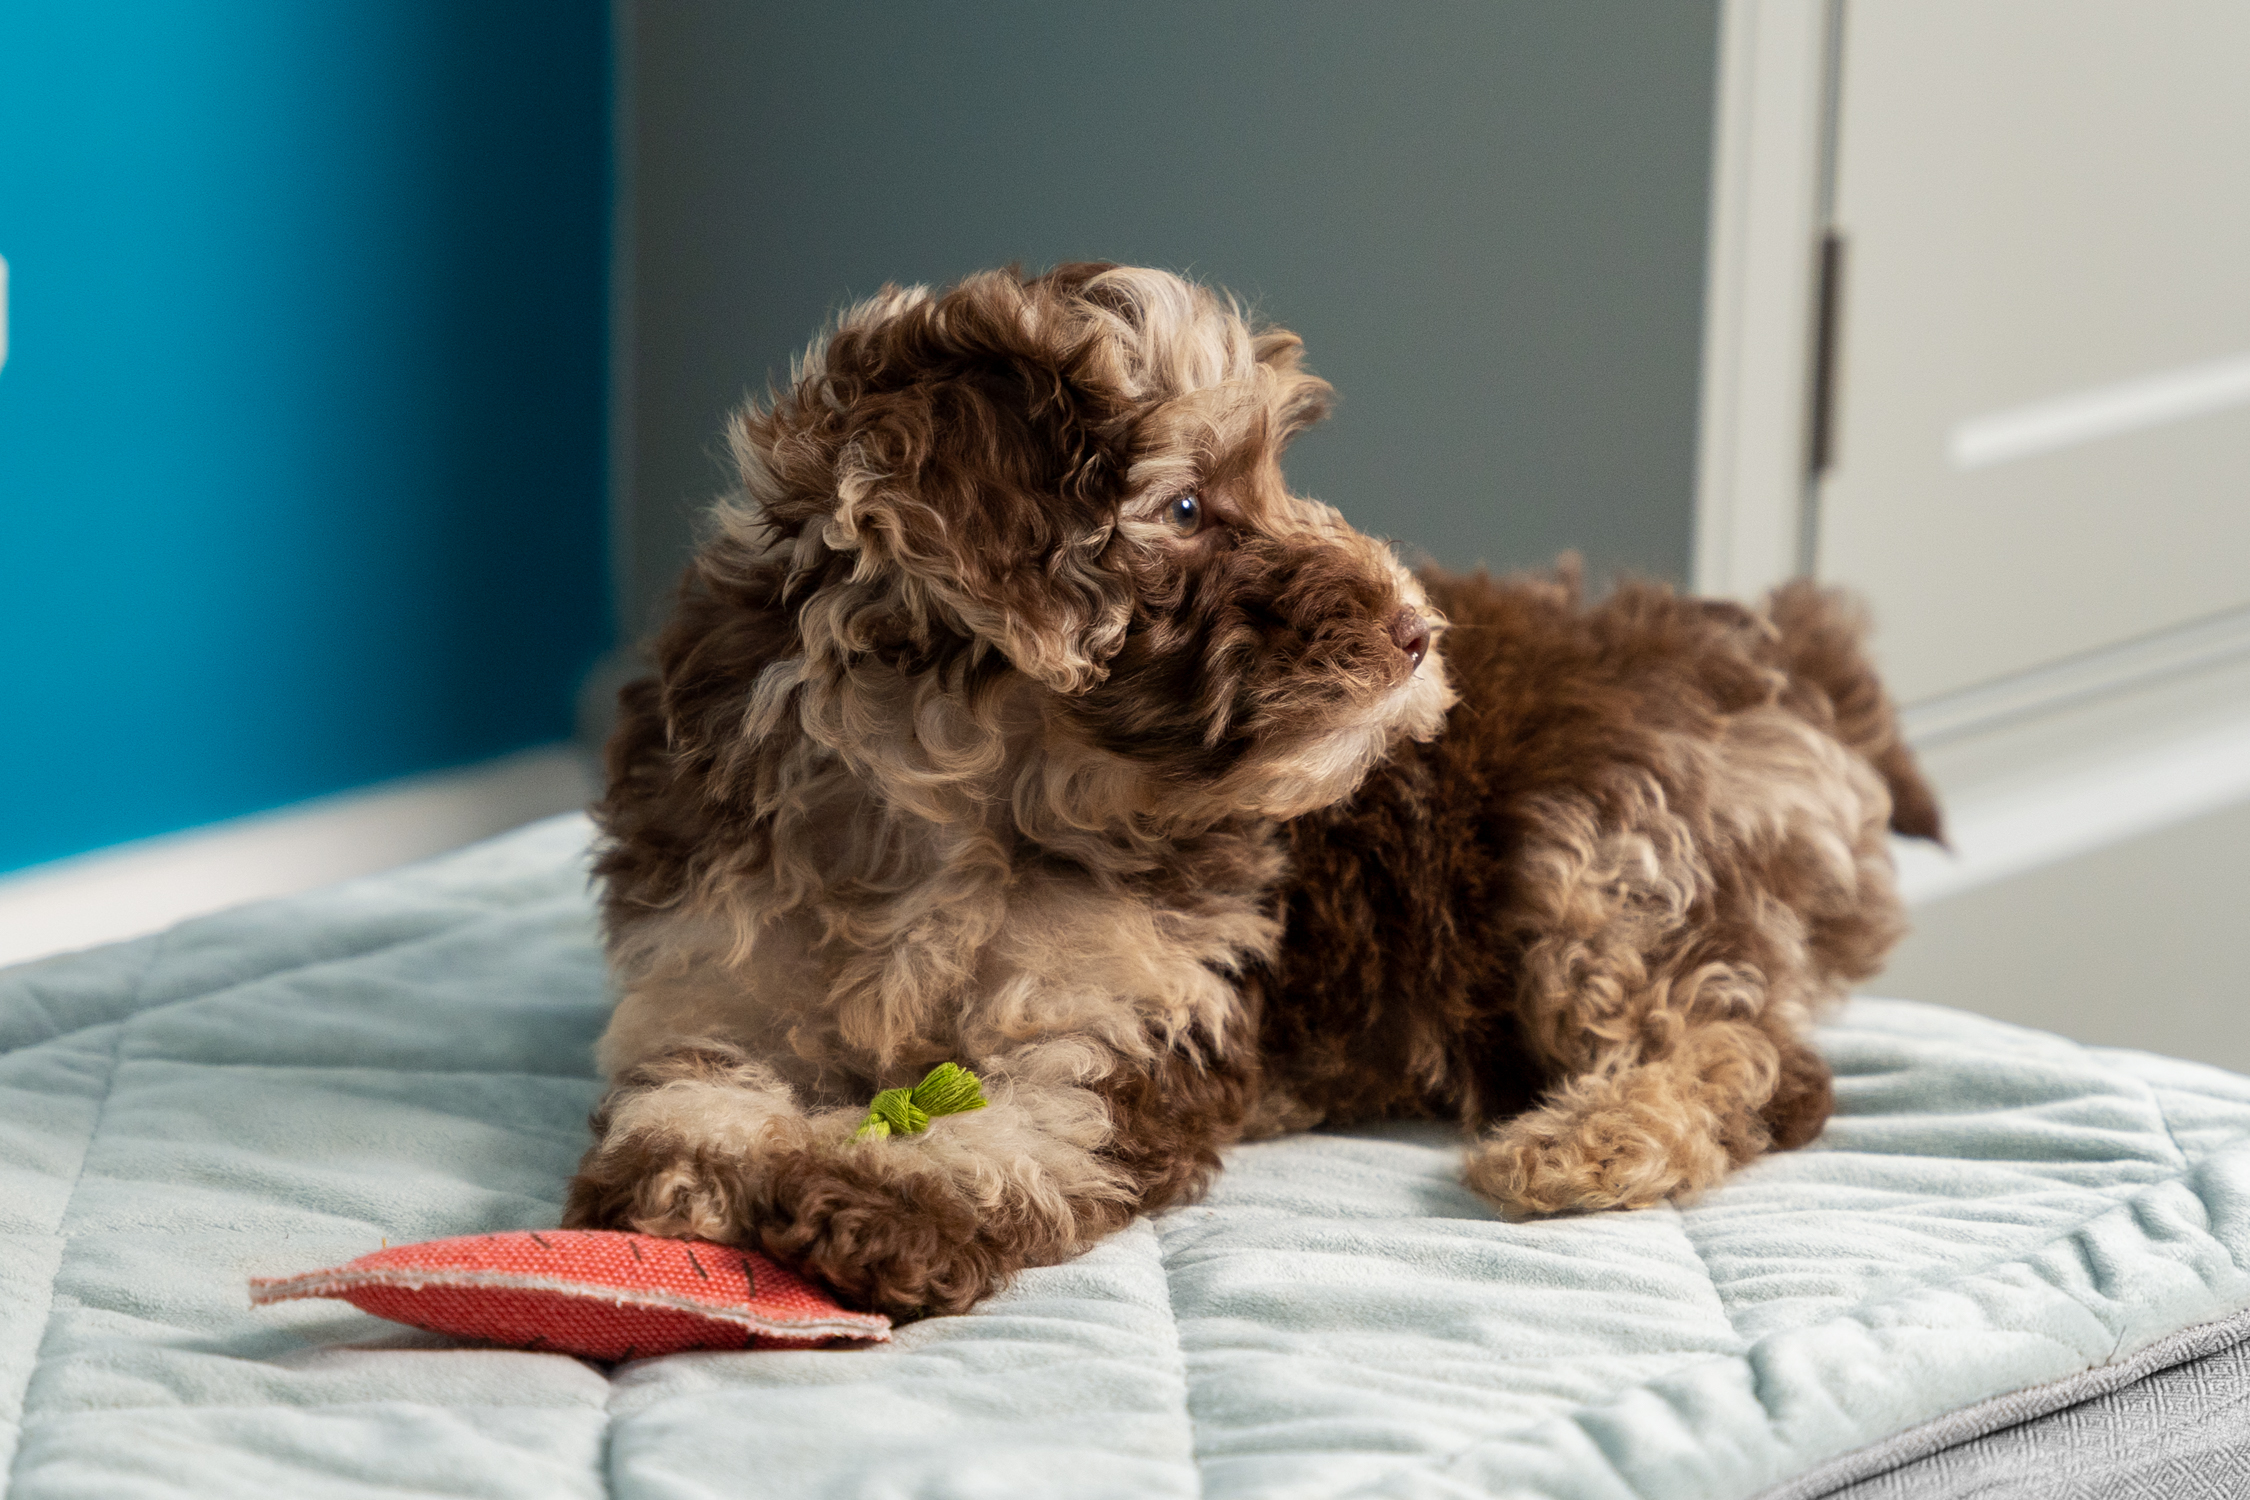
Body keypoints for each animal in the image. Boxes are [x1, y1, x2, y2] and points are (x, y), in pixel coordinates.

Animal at [567, 264, 1953, 1322]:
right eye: (1186, 506)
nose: (1417, 631)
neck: (950, 796)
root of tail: (1792, 663)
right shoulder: (712, 960)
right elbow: (692, 1083)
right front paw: (691, 1173)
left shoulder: (1131, 1018)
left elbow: (1040, 1126)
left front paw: (892, 1200)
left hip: (1602, 846)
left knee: (1753, 1058)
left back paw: (1586, 1142)